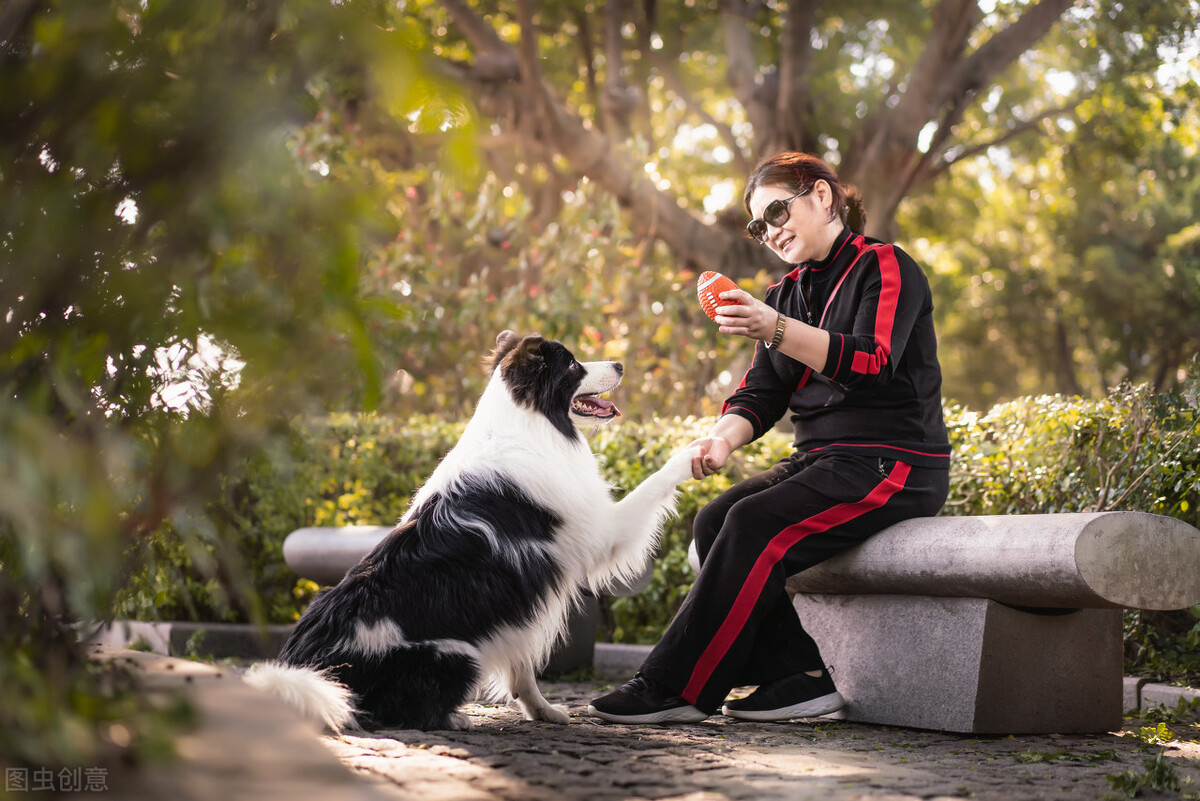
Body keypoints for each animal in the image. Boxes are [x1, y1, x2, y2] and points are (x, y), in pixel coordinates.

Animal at [243, 328, 696, 729]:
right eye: (572, 365)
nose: (620, 364)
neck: (526, 423)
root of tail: (308, 666)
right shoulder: (602, 531)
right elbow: (653, 483)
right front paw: (692, 452)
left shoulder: (516, 604)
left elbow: (522, 667)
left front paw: (542, 711)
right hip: (457, 654)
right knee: (383, 710)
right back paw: (454, 718)